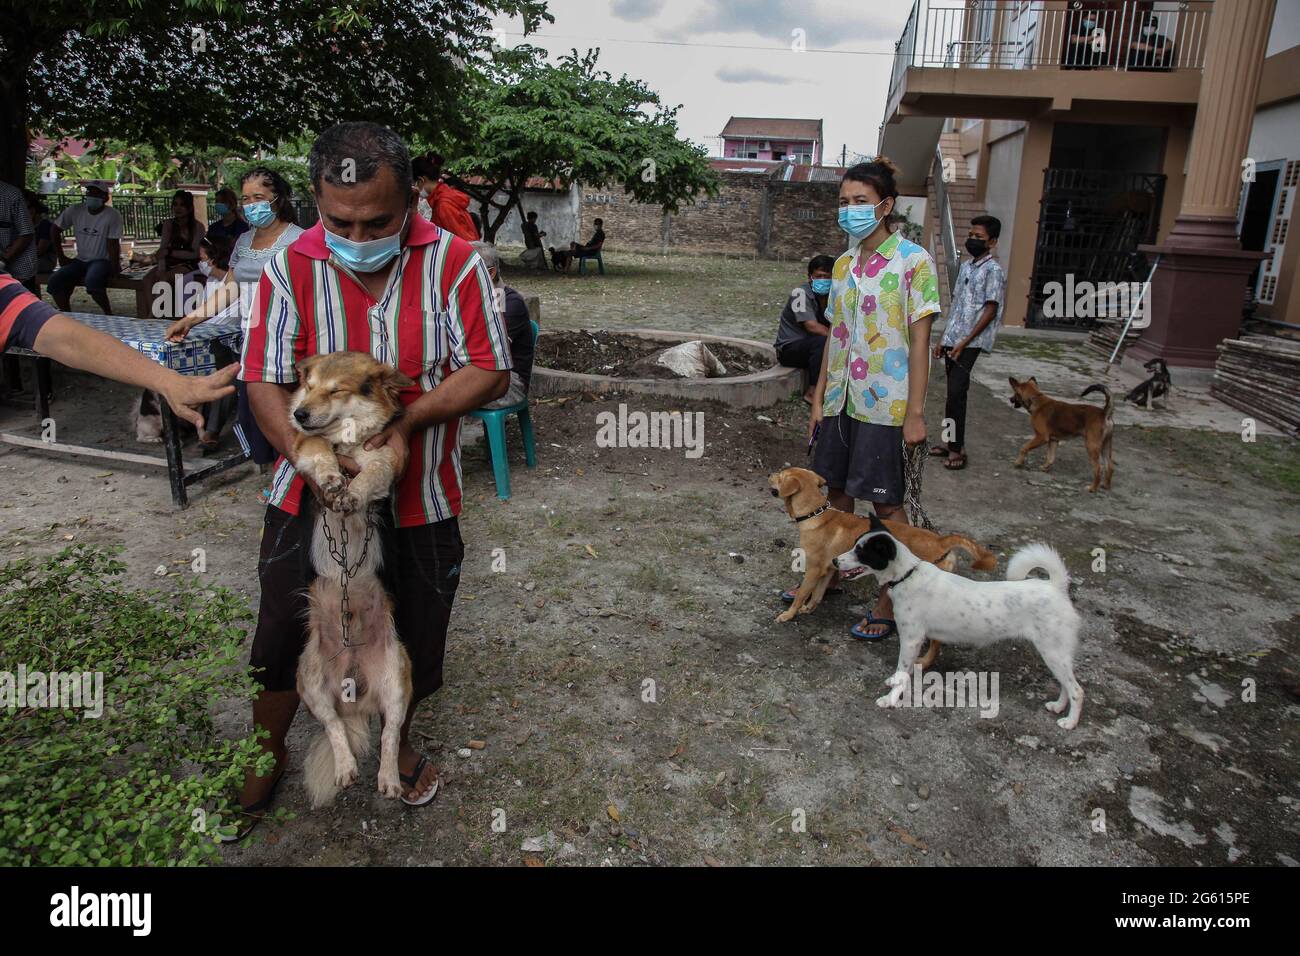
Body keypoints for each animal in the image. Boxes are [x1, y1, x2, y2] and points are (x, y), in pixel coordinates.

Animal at [832, 520, 1086, 728]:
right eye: (854, 545)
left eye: (861, 552)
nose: (835, 561)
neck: (907, 575)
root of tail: (1056, 587)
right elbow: (901, 670)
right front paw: (894, 681)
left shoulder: (912, 639)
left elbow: (903, 670)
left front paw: (891, 698)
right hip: (1056, 654)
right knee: (1066, 685)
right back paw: (1058, 707)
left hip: (1053, 652)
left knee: (1076, 690)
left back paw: (1070, 722)